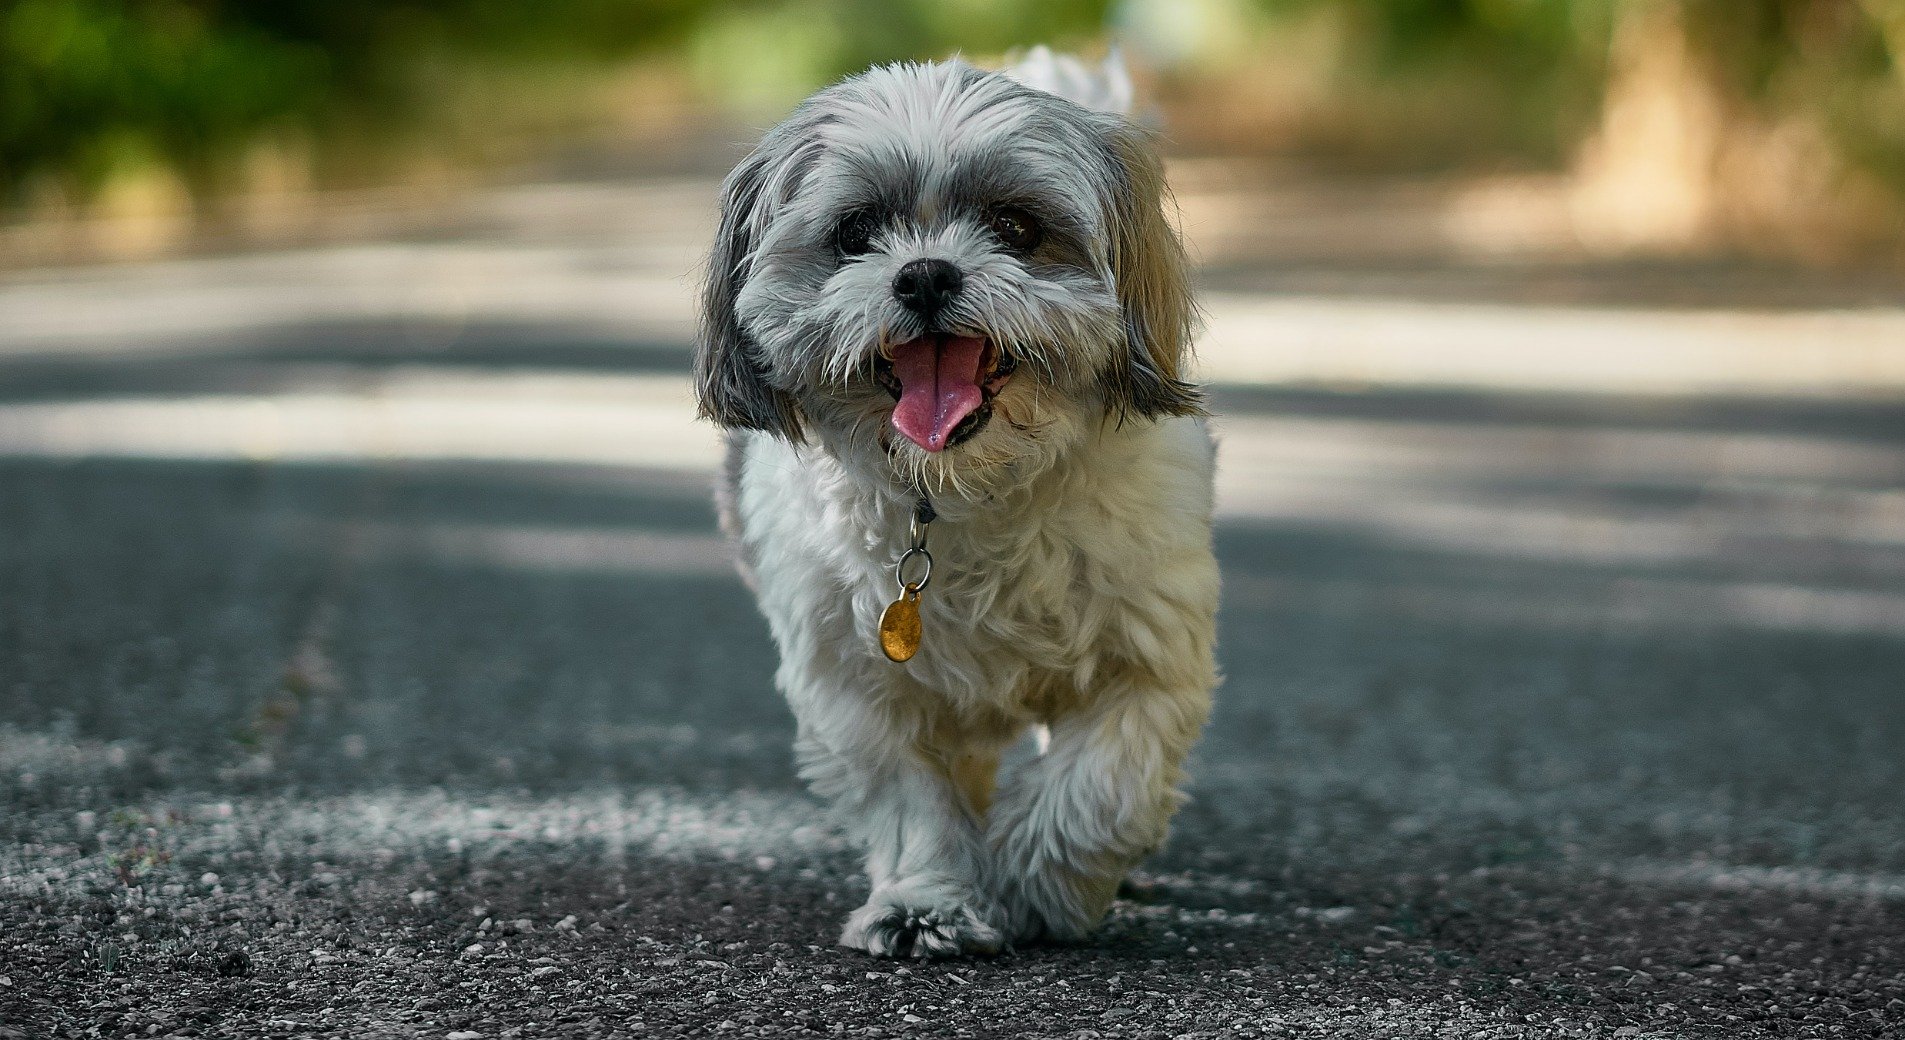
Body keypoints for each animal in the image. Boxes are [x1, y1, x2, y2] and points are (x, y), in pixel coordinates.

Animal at [701, 50, 1219, 956]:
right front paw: (924, 902)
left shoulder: (1147, 657)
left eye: (1015, 226)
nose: (924, 274)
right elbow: (910, 800)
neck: (963, 493)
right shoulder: (856, 684)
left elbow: (1101, 786)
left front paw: (1039, 887)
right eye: (855, 233)